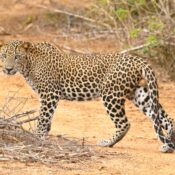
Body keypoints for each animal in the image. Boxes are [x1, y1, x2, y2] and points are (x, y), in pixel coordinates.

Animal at [0, 40, 174, 152]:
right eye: (3, 56)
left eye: (16, 56)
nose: (8, 69)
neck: (29, 65)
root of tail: (138, 59)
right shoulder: (49, 96)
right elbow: (47, 118)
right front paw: (44, 136)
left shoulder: (50, 94)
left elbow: (43, 118)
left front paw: (38, 138)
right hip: (140, 94)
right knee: (164, 118)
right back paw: (169, 144)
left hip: (111, 94)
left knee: (124, 123)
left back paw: (107, 143)